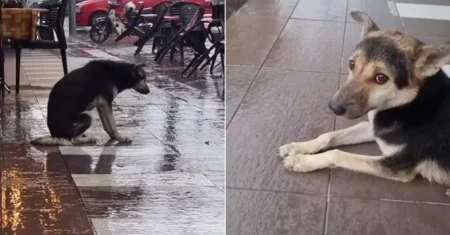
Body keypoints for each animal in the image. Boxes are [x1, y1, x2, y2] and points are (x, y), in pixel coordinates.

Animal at [278, 11, 450, 187]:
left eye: (381, 78)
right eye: (352, 64)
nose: (334, 107)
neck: (408, 105)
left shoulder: (398, 166)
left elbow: (337, 154)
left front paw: (302, 161)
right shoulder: (374, 128)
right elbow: (328, 136)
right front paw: (297, 147)